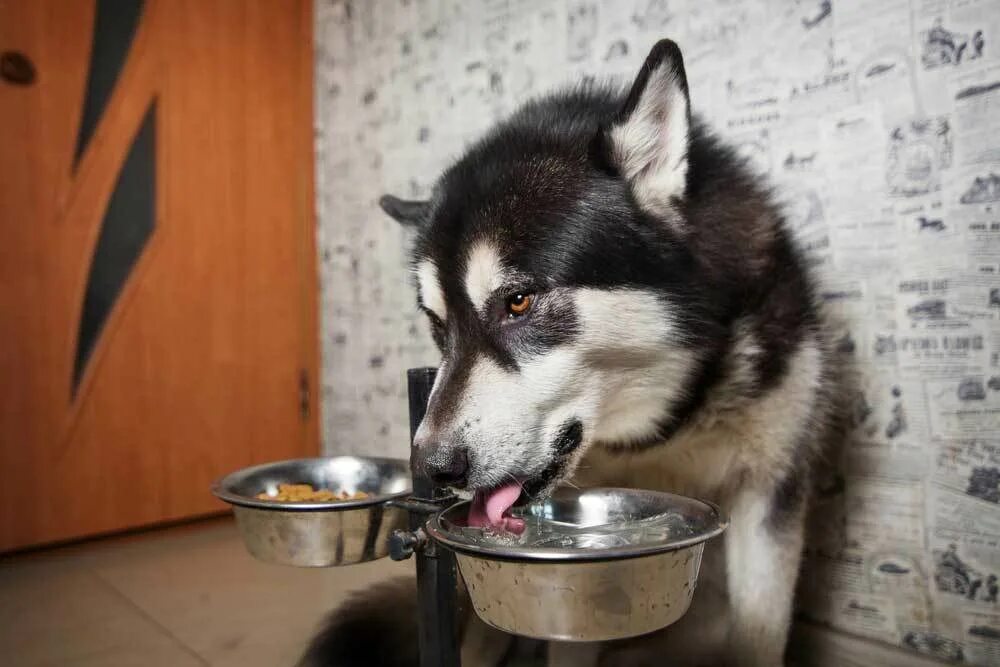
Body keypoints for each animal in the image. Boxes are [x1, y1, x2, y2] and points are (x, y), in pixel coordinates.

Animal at [304, 40, 844, 667]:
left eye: (517, 301)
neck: (662, 434)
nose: (430, 464)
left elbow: (758, 630)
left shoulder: (769, 493)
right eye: (438, 326)